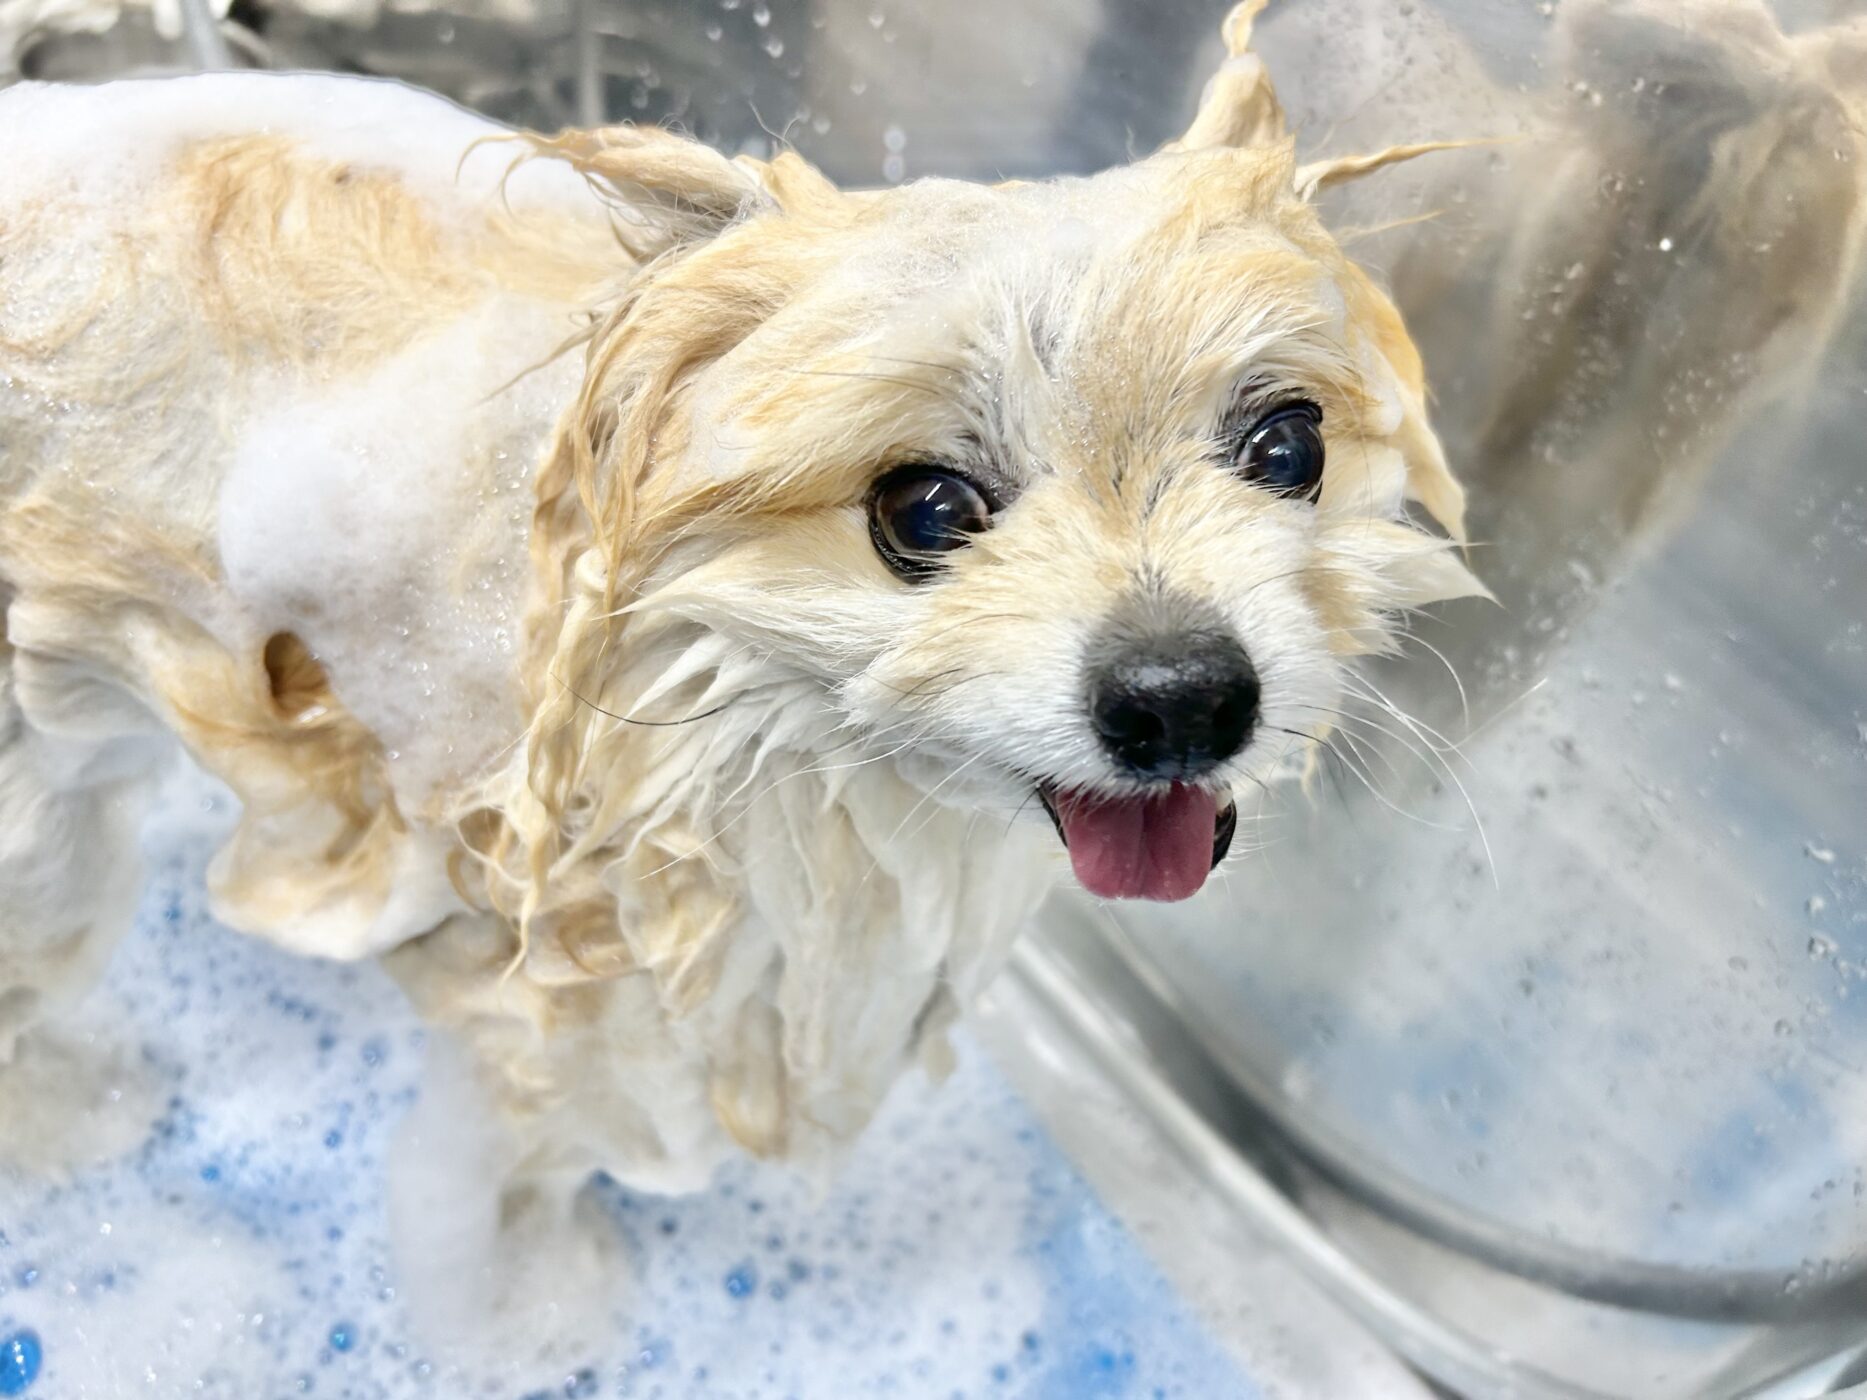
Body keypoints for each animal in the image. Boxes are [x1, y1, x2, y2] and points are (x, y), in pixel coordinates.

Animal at [0, 0, 1485, 1345]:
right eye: (923, 510)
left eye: (1285, 445)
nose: (1182, 696)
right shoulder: (544, 1026)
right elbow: (487, 1204)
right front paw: (537, 1324)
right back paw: (79, 1111)